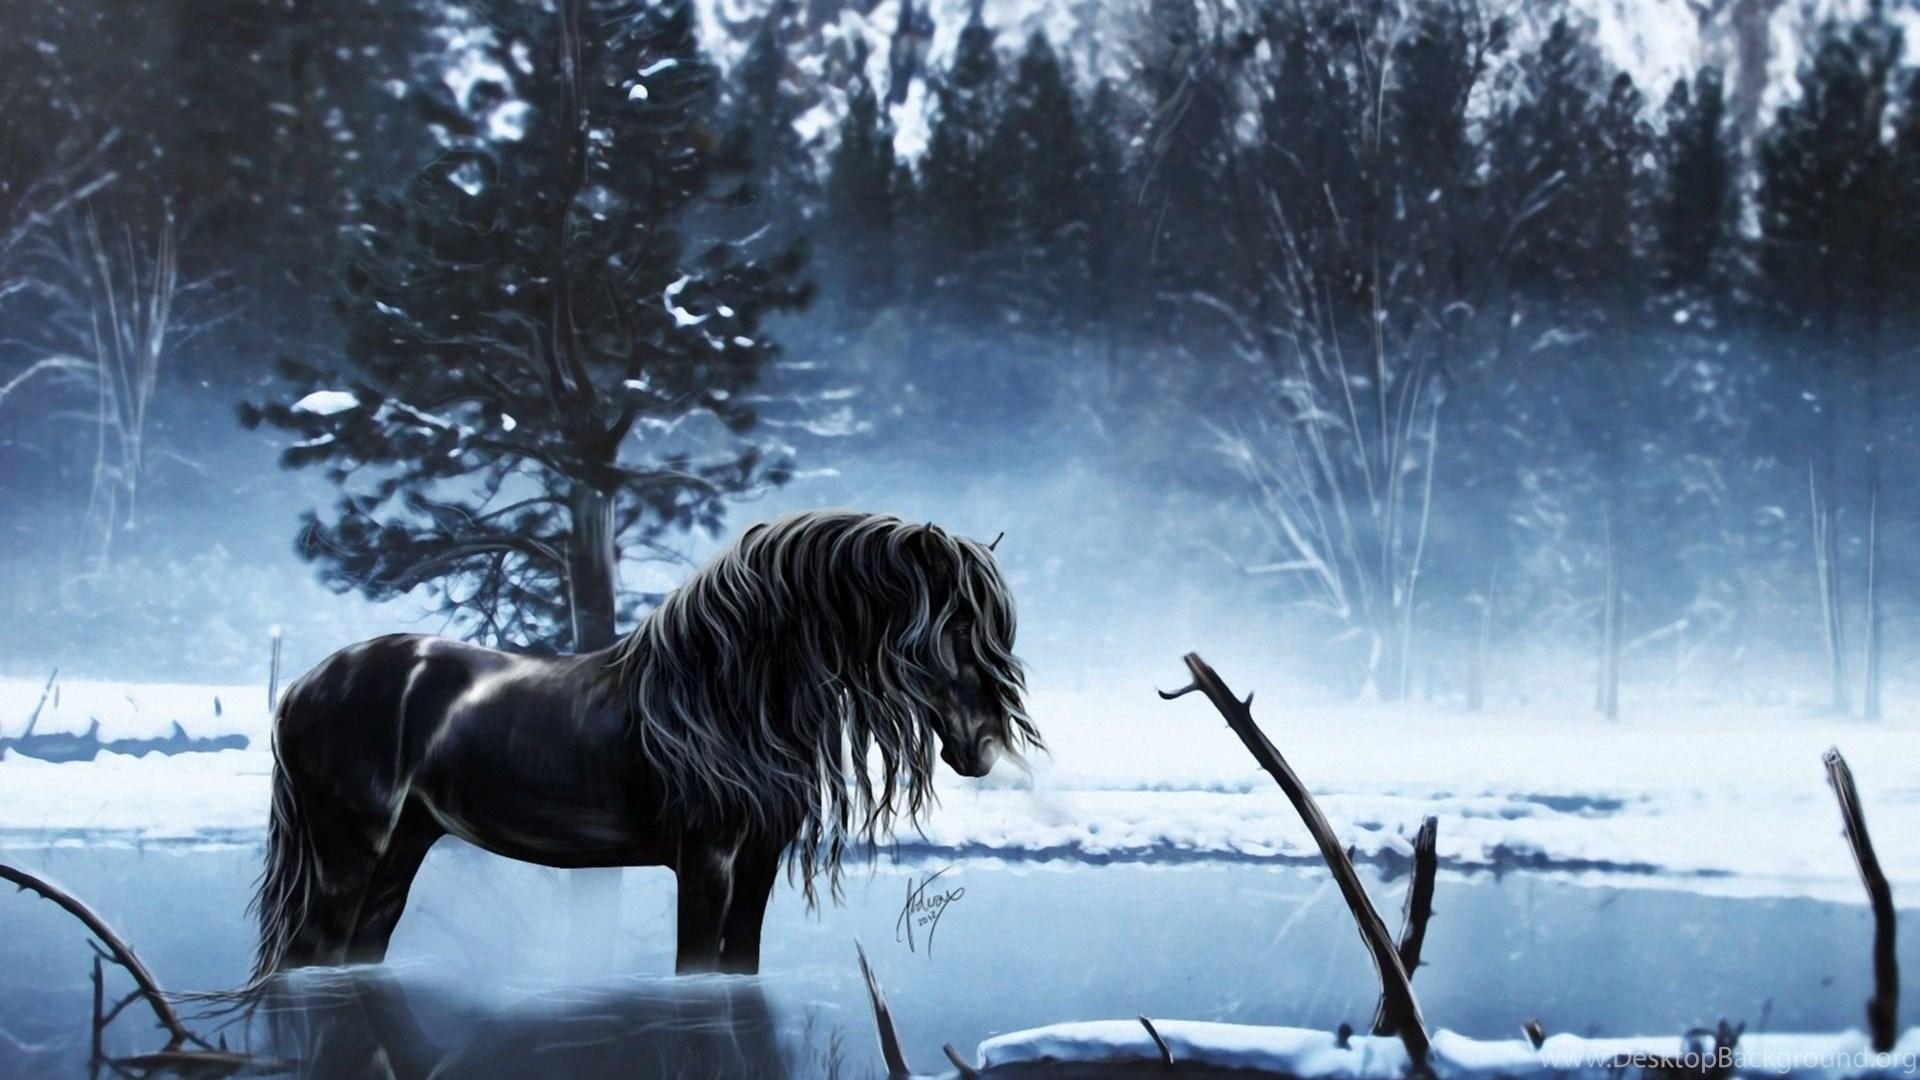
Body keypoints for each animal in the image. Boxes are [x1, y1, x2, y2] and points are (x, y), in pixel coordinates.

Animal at [249, 510, 1039, 979]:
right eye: (951, 627)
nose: (982, 748)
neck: (725, 698)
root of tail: (303, 687)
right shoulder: (707, 862)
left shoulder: (758, 862)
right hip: (348, 853)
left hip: (401, 850)